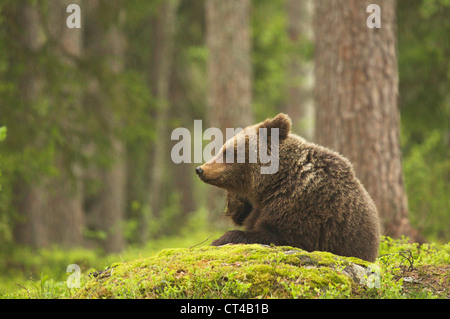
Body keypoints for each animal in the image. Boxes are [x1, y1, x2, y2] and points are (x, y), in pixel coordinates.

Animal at [196, 114, 380, 262]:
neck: (274, 183)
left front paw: (220, 239)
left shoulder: (304, 207)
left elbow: (277, 236)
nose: (200, 169)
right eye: (222, 149)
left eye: (228, 151)